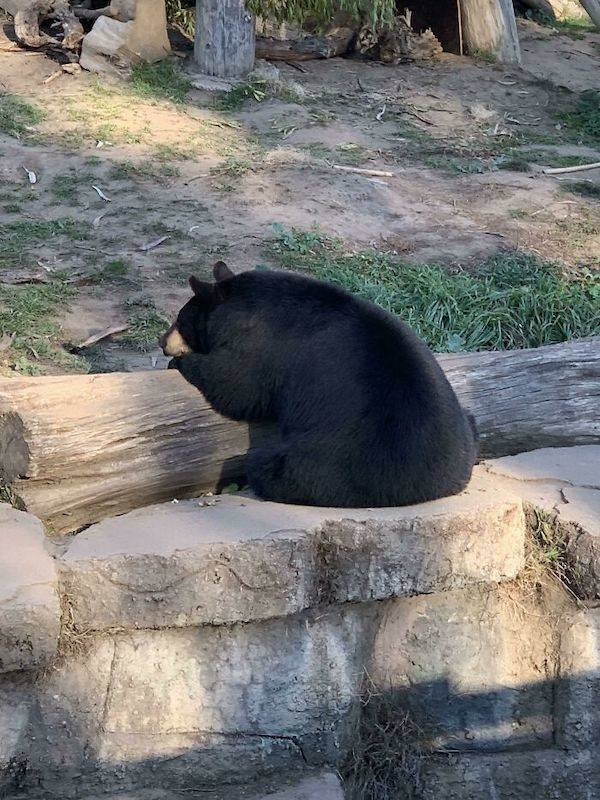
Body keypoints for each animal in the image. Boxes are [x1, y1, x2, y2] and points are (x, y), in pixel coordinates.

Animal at [161, 261, 478, 508]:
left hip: (337, 463)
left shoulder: (260, 344)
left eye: (180, 320)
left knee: (271, 467)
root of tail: (435, 487)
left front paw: (180, 362)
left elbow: (237, 384)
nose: (162, 342)